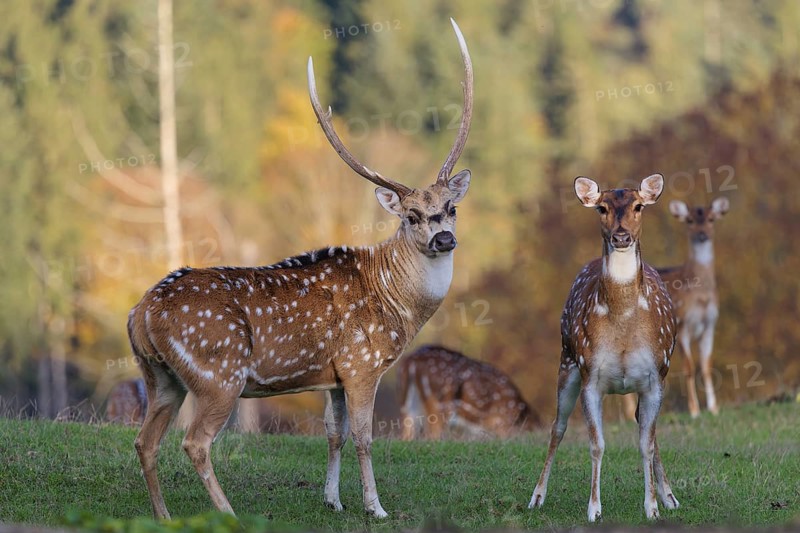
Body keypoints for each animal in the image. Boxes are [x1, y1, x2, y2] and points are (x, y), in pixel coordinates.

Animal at [127, 19, 472, 520]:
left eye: (451, 208)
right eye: (410, 215)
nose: (443, 239)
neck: (398, 307)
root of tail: (140, 313)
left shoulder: (334, 375)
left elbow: (334, 432)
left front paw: (333, 500)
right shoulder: (362, 364)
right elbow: (364, 437)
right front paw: (375, 507)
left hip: (159, 376)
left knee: (145, 441)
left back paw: (164, 516)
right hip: (219, 374)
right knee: (194, 442)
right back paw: (228, 513)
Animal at [397, 345, 539, 440]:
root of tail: (411, 362)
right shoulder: (502, 424)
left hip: (408, 404)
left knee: (407, 435)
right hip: (439, 404)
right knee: (432, 435)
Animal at [528, 175, 680, 522]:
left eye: (638, 206)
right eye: (602, 208)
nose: (620, 236)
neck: (623, 323)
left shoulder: (656, 377)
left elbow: (646, 443)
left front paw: (653, 507)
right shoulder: (591, 376)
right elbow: (596, 444)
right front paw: (594, 510)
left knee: (648, 432)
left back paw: (670, 496)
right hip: (566, 361)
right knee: (557, 427)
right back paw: (537, 496)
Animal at [622, 197, 730, 420]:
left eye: (711, 219)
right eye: (689, 220)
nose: (702, 234)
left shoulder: (710, 325)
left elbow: (706, 365)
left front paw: (714, 408)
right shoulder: (682, 323)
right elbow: (689, 367)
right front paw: (694, 410)